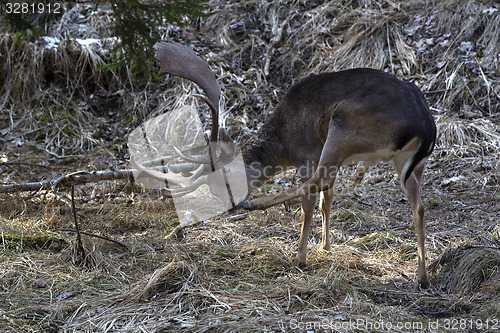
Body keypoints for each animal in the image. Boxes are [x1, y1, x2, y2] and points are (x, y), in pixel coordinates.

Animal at [146, 40, 436, 286]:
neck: (283, 142)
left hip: (343, 124)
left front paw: (302, 257)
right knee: (418, 207)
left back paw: (262, 210)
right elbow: (327, 200)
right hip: (410, 162)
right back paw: (421, 276)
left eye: (225, 175)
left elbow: (311, 202)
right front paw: (325, 246)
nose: (230, 205)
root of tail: (425, 123)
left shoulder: (307, 152)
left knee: (316, 183)